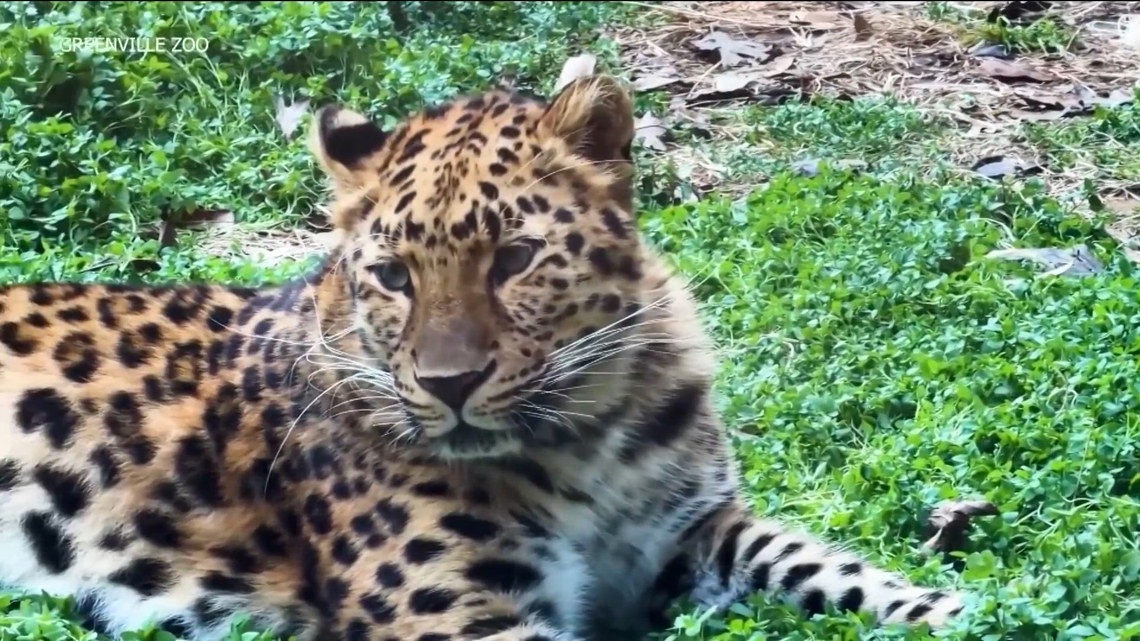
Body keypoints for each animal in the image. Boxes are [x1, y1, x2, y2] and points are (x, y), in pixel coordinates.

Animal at [0, 72, 972, 641]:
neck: (590, 437)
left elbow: (822, 563)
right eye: (392, 275)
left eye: (514, 259)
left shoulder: (690, 535)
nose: (451, 385)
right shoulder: (458, 614)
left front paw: (953, 607)